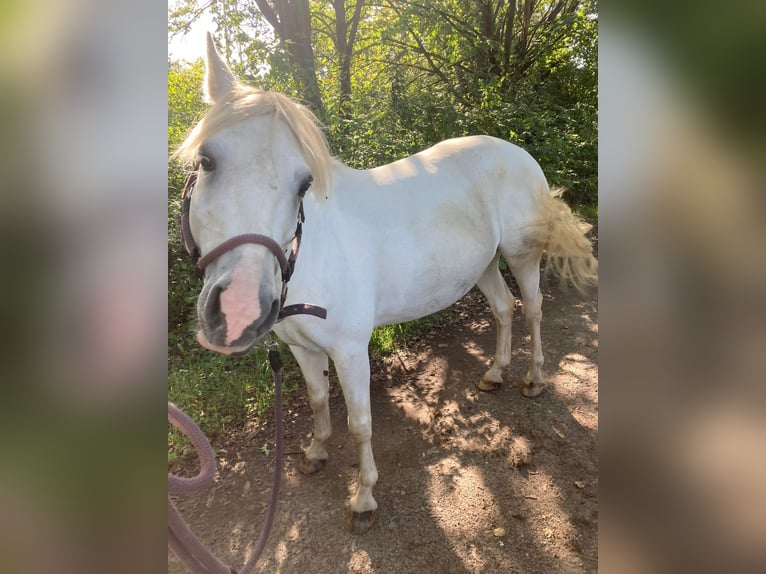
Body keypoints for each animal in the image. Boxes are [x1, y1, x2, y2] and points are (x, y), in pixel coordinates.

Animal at [177, 36, 596, 536]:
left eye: (304, 183)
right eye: (207, 161)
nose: (239, 310)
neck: (312, 256)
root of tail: (519, 153)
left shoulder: (350, 351)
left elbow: (360, 422)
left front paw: (363, 499)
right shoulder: (300, 347)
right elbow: (317, 400)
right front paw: (315, 452)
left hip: (521, 256)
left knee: (532, 308)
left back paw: (533, 379)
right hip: (482, 266)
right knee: (503, 308)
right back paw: (495, 373)